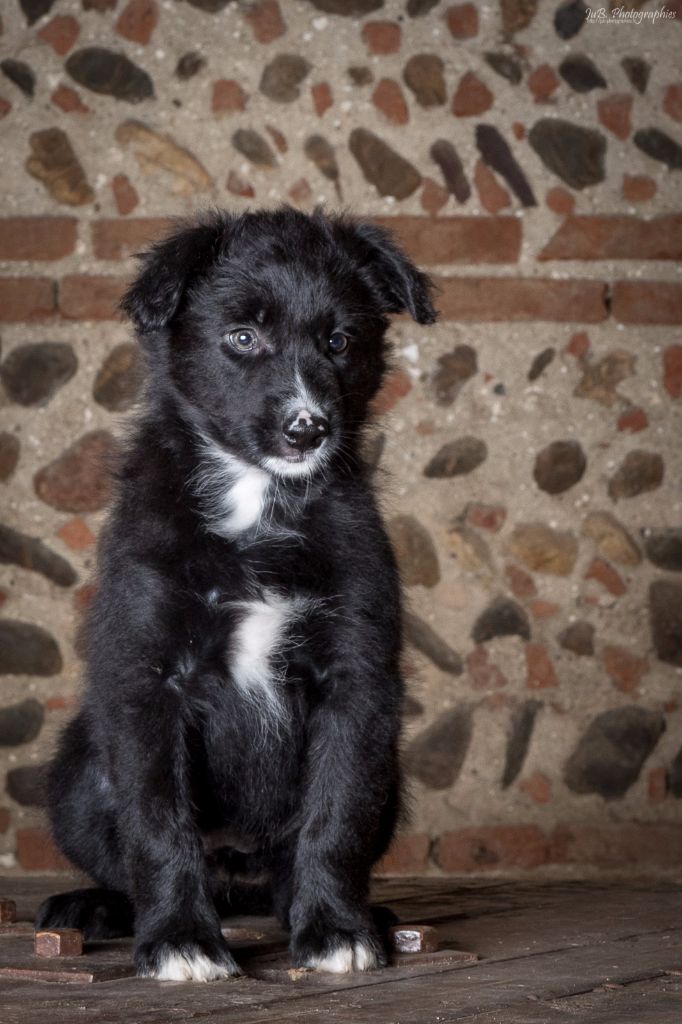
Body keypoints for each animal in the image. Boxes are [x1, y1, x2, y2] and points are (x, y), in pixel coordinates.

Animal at [36, 207, 436, 982]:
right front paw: (181, 941)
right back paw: (96, 907)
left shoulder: (356, 679)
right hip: (76, 773)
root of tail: (237, 879)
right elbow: (159, 823)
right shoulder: (146, 678)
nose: (307, 429)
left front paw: (335, 929)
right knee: (124, 859)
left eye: (339, 341)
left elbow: (335, 815)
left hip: (391, 776)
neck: (256, 502)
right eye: (242, 337)